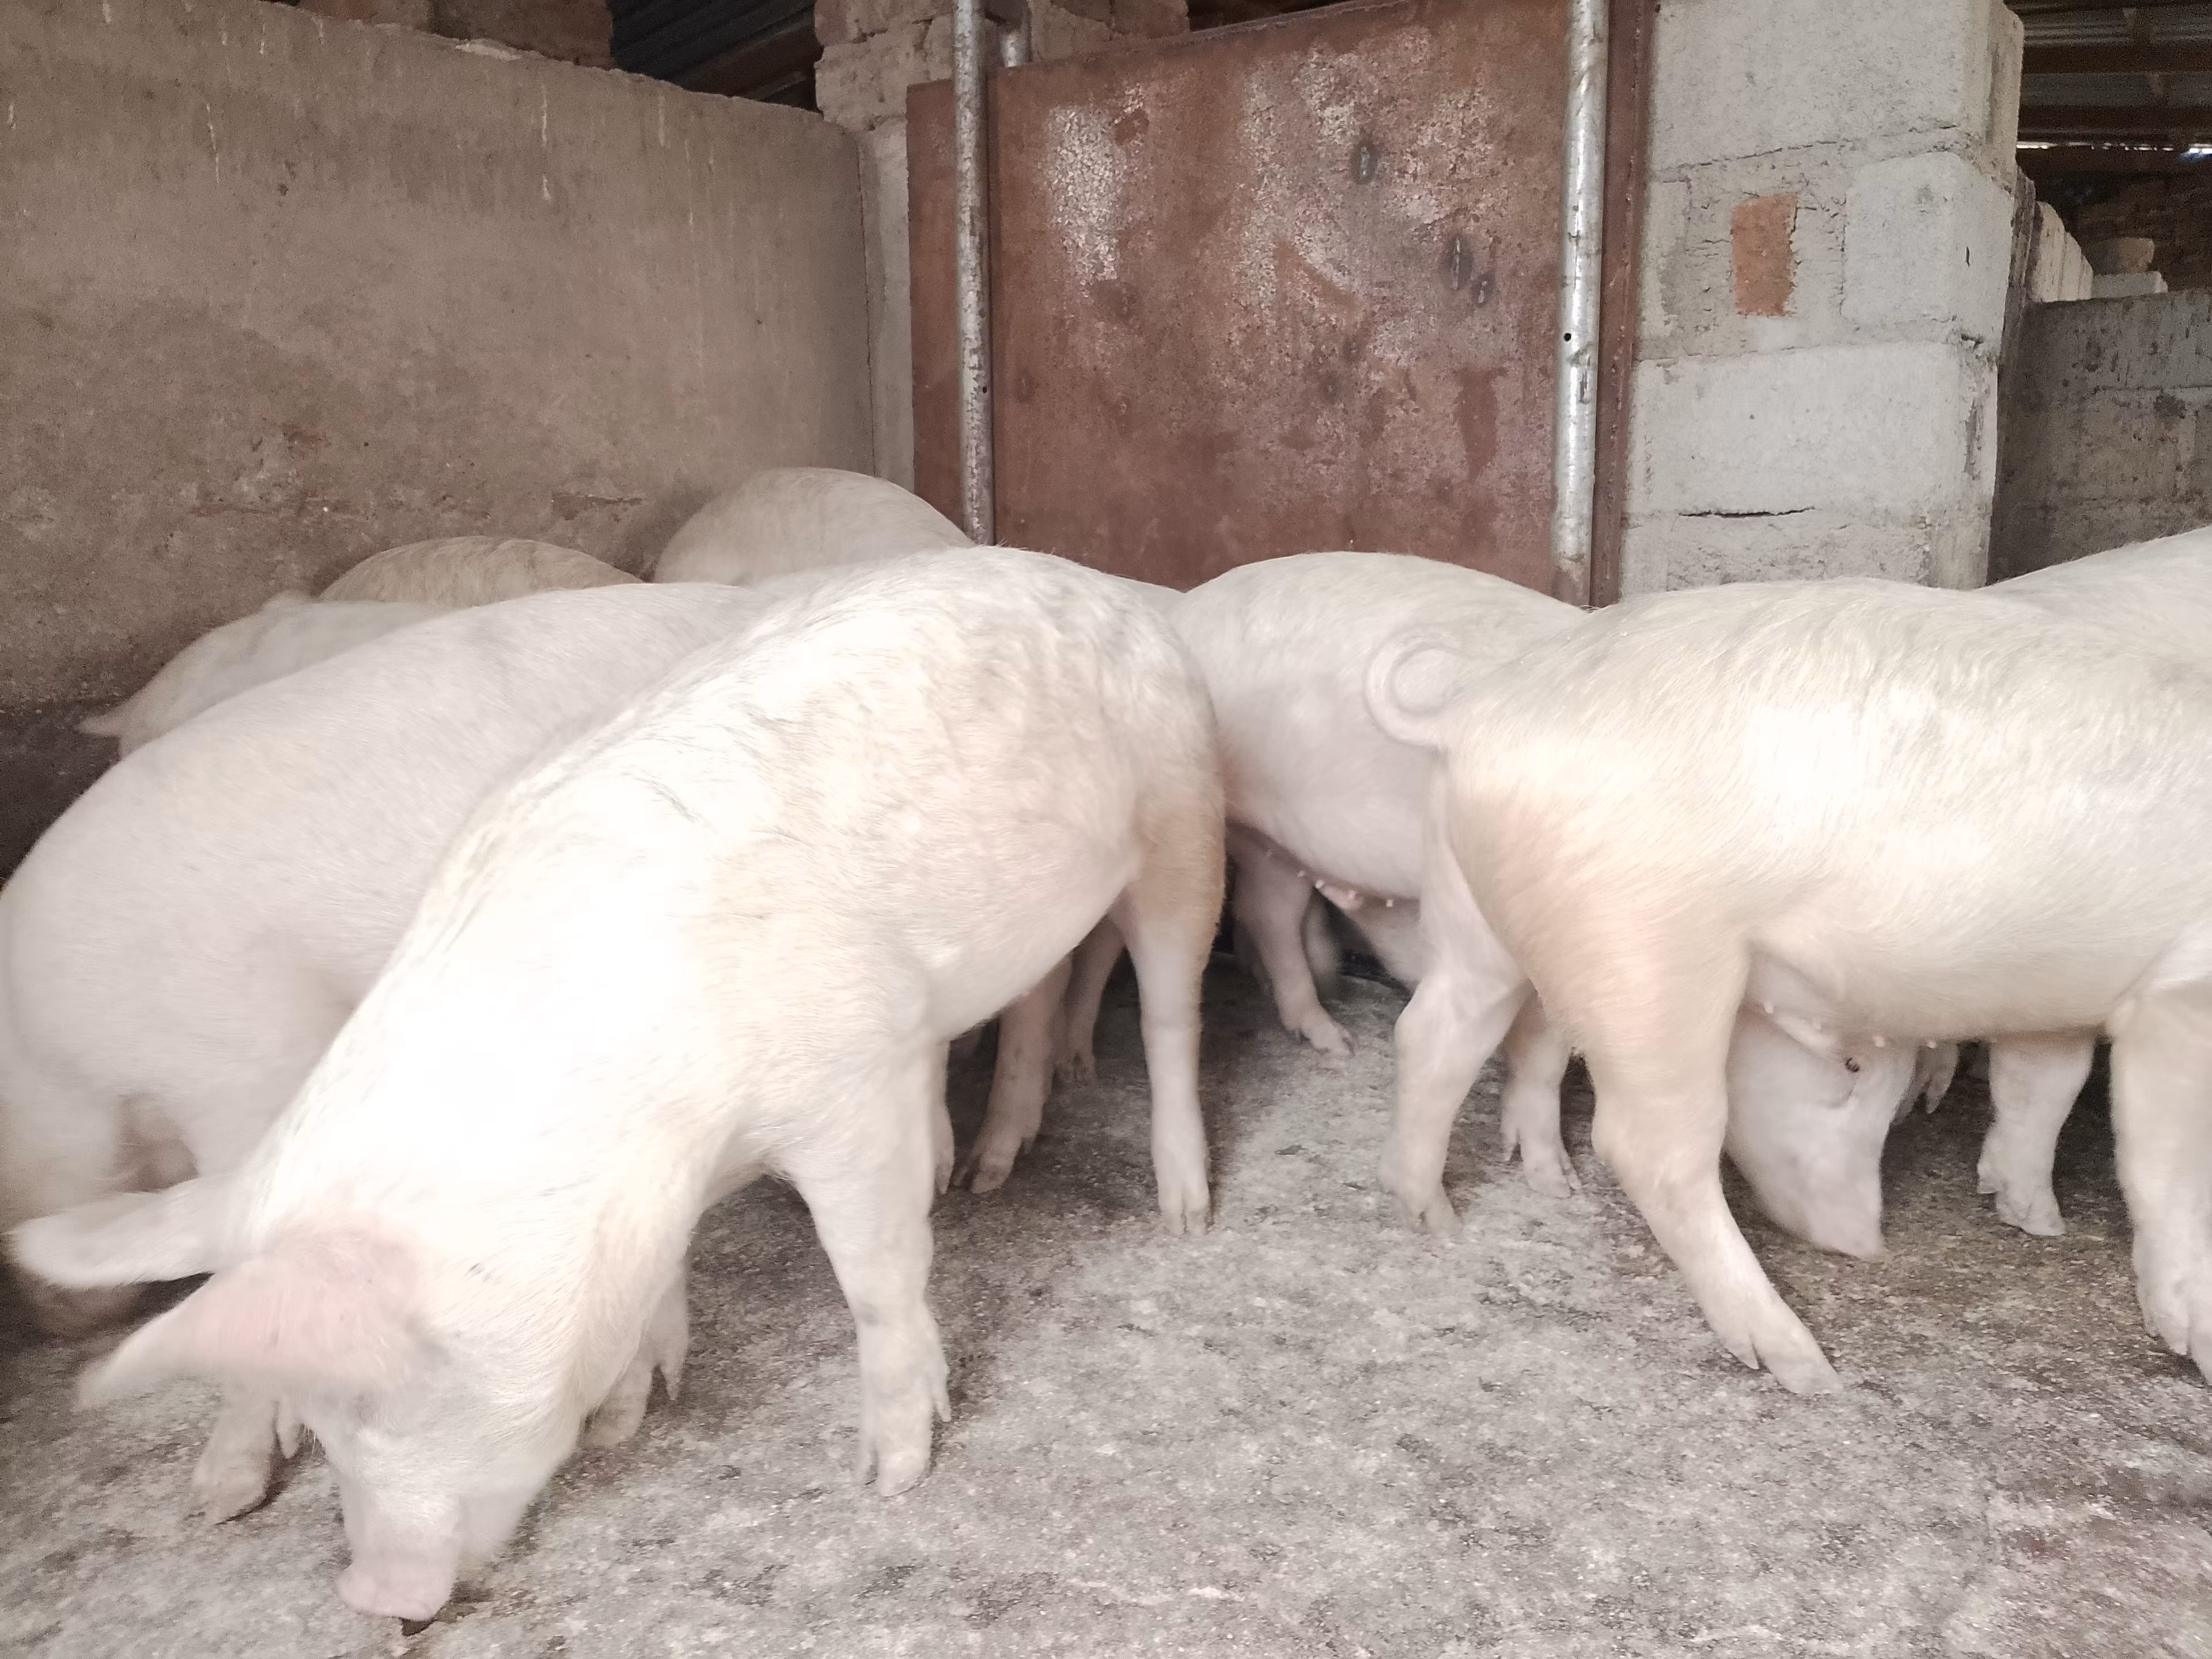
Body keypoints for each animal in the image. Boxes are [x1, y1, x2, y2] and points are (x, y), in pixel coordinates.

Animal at [1367, 577, 2212, 1392]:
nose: (1871, 1247)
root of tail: (1482, 711)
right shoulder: (2181, 992)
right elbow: (2164, 1163)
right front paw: (2193, 1338)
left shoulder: (2058, 996)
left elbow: (2045, 1084)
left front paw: (2034, 1219)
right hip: (1644, 947)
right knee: (1649, 1144)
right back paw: (1805, 1368)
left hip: (1479, 907)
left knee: (1439, 1030)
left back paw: (1436, 1219)